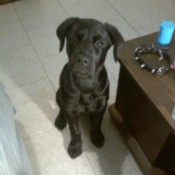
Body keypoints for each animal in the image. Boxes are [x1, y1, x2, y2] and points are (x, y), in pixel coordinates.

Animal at [55, 17, 124, 159]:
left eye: (100, 44)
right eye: (73, 39)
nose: (82, 60)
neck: (85, 84)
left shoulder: (101, 105)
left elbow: (97, 123)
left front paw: (96, 136)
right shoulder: (70, 108)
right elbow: (75, 130)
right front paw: (75, 146)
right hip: (59, 94)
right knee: (61, 107)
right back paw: (60, 120)